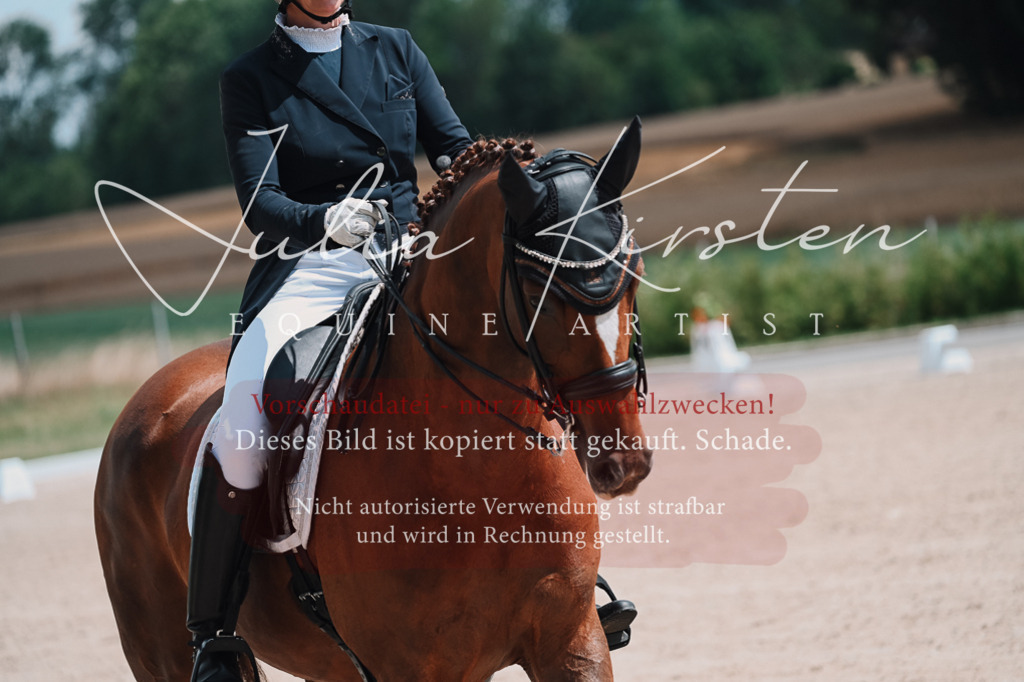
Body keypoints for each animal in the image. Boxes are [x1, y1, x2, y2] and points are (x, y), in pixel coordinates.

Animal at [95, 122, 652, 681]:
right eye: (540, 292)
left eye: (635, 270)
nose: (621, 461)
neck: (476, 470)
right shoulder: (407, 667)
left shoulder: (572, 641)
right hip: (158, 648)